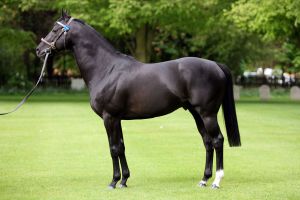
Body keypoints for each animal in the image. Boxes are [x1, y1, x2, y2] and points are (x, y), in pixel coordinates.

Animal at [35, 11, 241, 190]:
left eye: (55, 29)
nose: (39, 50)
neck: (106, 69)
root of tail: (215, 65)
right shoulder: (116, 118)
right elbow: (121, 147)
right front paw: (124, 180)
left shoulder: (109, 117)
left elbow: (113, 148)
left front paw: (113, 182)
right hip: (196, 113)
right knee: (207, 142)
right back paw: (204, 179)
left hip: (208, 114)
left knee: (217, 140)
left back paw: (216, 181)